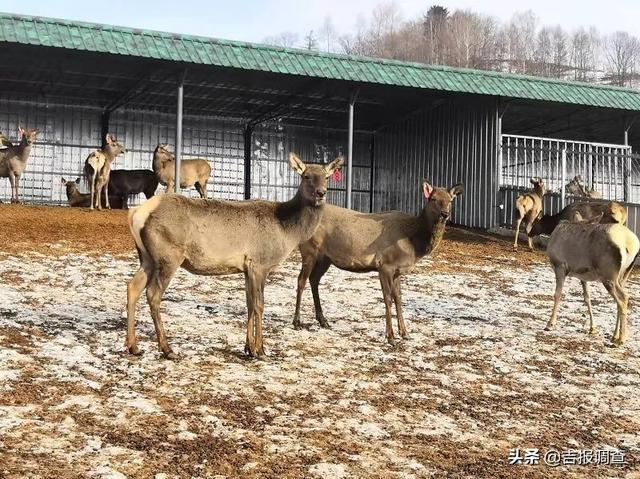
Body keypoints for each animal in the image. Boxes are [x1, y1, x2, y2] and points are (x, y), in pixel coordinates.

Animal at [126, 152, 344, 358]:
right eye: (306, 176)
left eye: (326, 177)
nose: (321, 193)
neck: (287, 231)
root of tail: (136, 213)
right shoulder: (259, 262)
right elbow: (259, 305)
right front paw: (261, 350)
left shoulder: (247, 268)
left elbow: (249, 304)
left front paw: (248, 348)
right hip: (169, 255)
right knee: (152, 294)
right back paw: (167, 348)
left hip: (147, 257)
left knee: (133, 287)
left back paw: (133, 346)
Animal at [292, 180, 462, 344]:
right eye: (433, 199)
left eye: (450, 200)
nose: (445, 214)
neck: (413, 243)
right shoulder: (385, 265)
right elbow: (387, 299)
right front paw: (390, 337)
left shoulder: (397, 271)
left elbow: (398, 298)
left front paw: (405, 333)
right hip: (309, 250)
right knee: (301, 280)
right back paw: (297, 322)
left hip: (325, 258)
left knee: (314, 279)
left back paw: (323, 320)